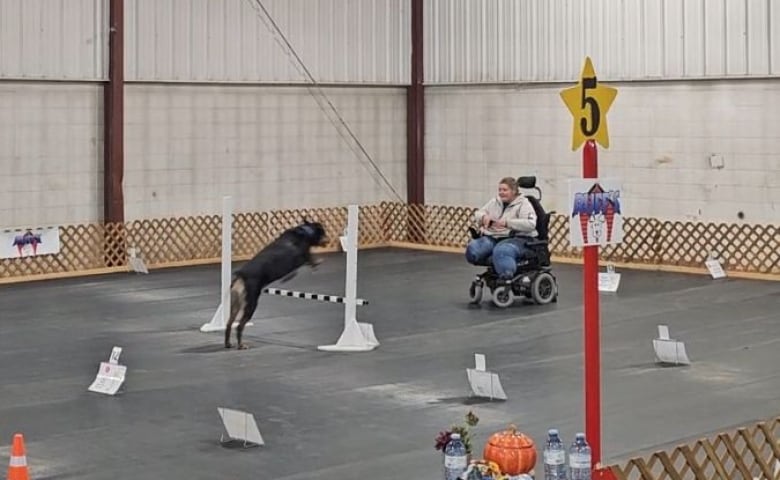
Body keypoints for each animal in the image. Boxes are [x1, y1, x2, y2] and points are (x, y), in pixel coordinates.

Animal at [224, 220, 328, 348]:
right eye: (323, 232)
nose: (328, 240)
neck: (304, 232)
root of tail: (241, 276)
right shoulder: (301, 257)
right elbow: (310, 258)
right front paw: (316, 264)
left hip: (235, 305)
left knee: (229, 323)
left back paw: (228, 343)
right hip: (251, 303)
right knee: (239, 326)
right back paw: (241, 345)